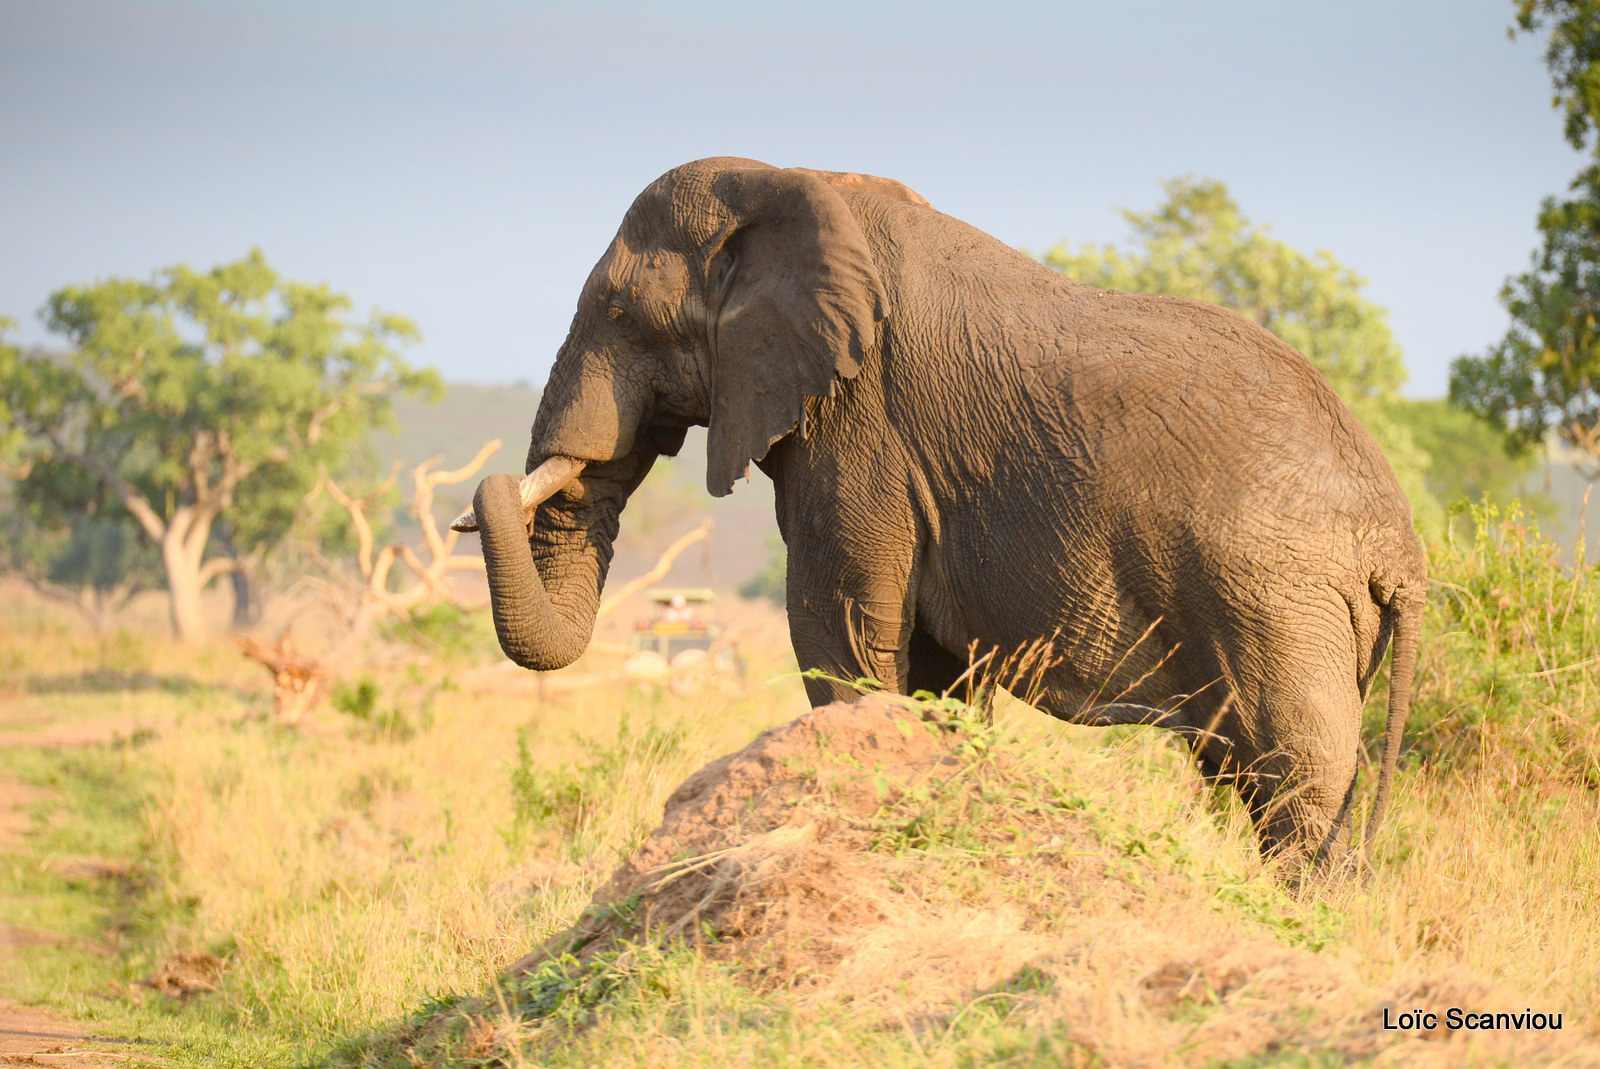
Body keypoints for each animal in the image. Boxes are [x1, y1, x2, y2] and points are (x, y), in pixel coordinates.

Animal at [457, 154, 1433, 864]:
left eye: (623, 314)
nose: (488, 488)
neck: (789, 181)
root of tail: (1399, 546)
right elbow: (935, 673)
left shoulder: (861, 425)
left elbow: (838, 634)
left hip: (1277, 601)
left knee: (1294, 774)